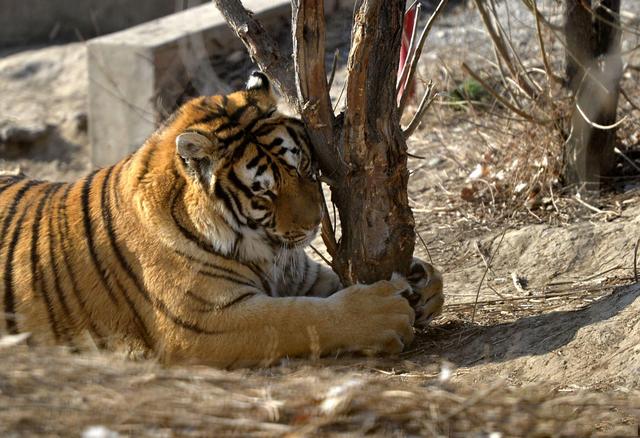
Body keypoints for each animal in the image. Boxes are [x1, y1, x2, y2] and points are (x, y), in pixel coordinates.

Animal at [0, 72, 444, 366]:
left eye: (302, 165)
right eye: (264, 191)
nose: (314, 223)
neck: (261, 245)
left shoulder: (300, 275)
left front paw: (424, 282)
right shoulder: (201, 323)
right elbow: (296, 317)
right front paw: (383, 314)